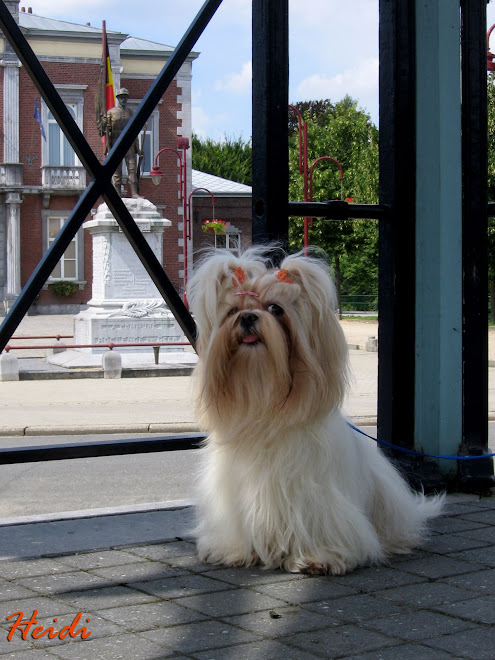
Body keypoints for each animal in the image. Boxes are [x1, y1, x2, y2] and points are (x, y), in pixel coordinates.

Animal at [187, 248, 446, 572]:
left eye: (276, 309)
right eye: (232, 311)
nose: (247, 317)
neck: (265, 404)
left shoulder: (314, 495)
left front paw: (319, 557)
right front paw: (234, 550)